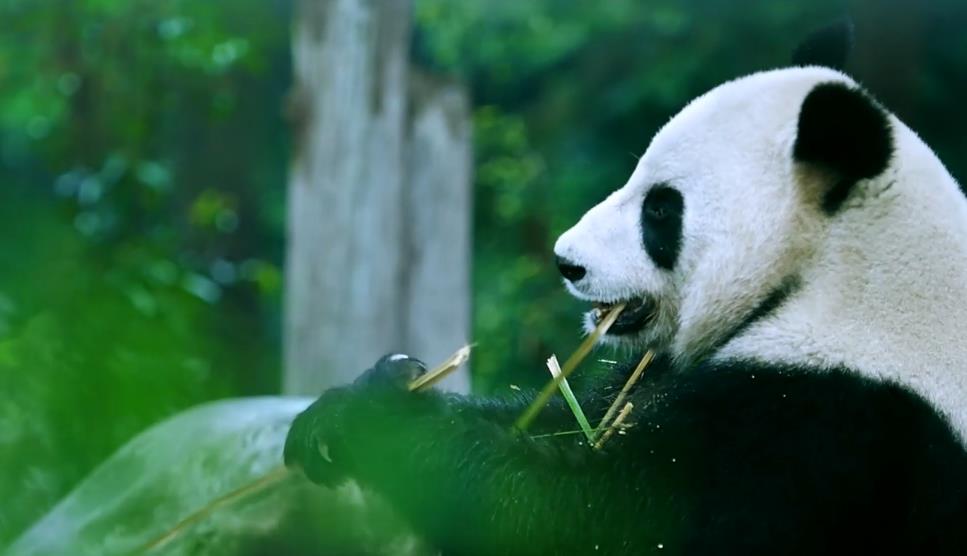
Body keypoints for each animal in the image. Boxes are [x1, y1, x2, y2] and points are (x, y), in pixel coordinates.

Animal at [286, 22, 967, 556]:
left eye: (661, 210)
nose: (566, 262)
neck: (839, 268)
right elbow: (569, 420)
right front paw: (362, 396)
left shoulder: (831, 427)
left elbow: (594, 518)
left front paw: (377, 422)